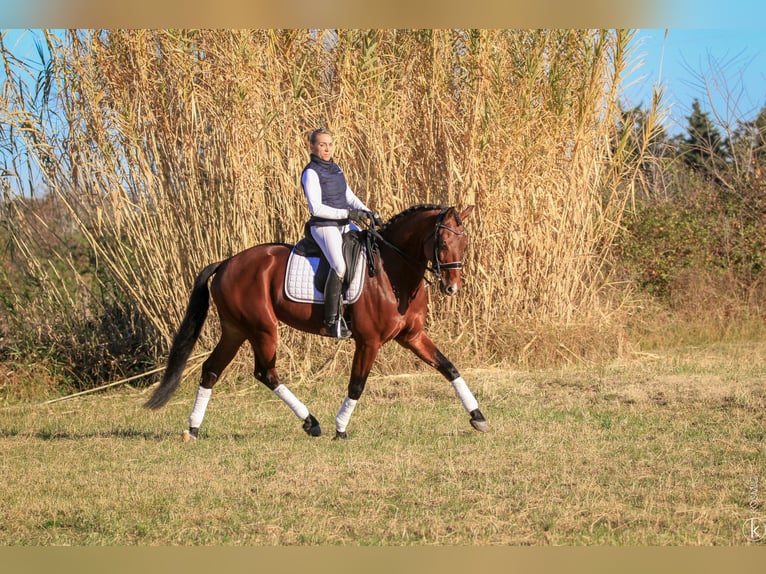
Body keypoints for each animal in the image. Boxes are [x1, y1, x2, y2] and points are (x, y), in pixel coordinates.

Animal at [147, 204, 488, 440]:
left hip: (236, 329)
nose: (451, 288)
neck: (393, 272)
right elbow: (357, 384)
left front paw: (478, 416)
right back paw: (311, 422)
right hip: (262, 328)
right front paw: (341, 427)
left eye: (465, 244)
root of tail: (227, 262)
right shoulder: (369, 341)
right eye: (442, 243)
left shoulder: (413, 336)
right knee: (265, 372)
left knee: (212, 369)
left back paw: (193, 428)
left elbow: (449, 367)